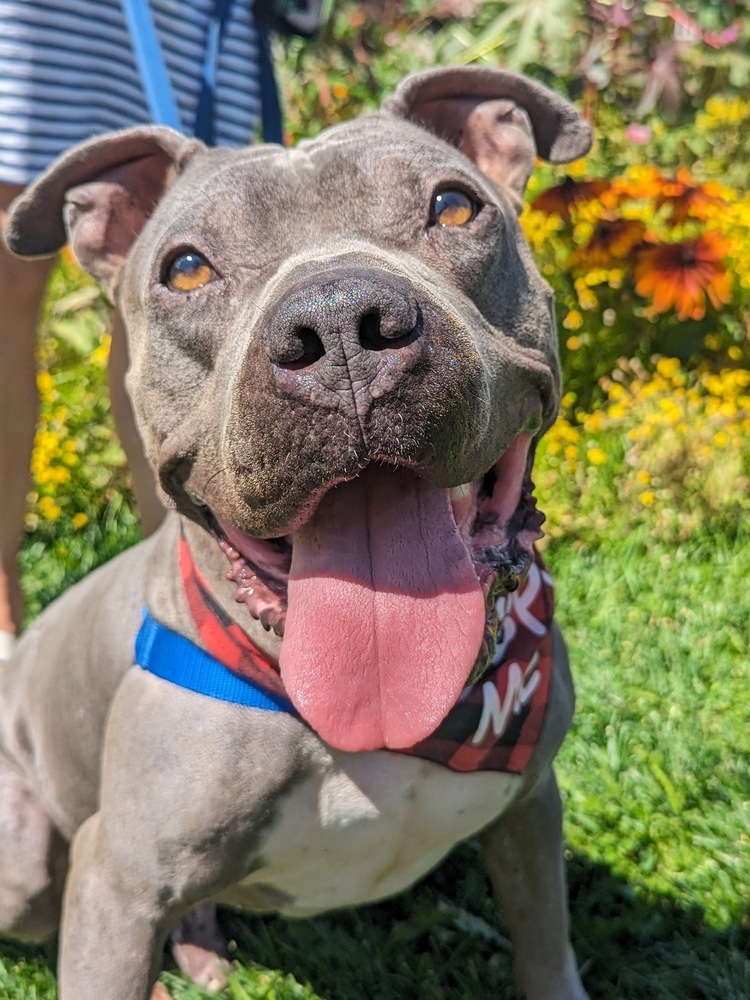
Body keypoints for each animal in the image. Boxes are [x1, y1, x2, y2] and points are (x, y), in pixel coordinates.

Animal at [2, 66, 596, 996]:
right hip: (29, 862)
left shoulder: (530, 811)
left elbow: (546, 953)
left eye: (453, 207)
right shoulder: (116, 883)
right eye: (185, 268)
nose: (344, 324)